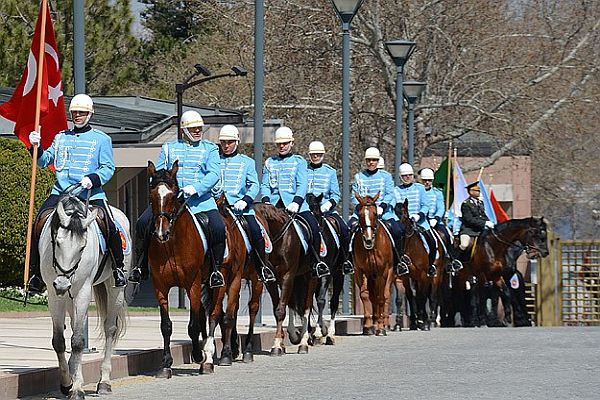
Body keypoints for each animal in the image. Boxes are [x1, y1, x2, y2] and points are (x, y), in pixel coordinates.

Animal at [39, 193, 130, 396]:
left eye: (82, 247)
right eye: (57, 242)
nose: (62, 284)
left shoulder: (82, 292)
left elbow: (79, 341)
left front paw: (77, 388)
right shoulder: (54, 294)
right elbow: (59, 341)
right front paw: (67, 383)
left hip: (115, 288)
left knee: (110, 328)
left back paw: (104, 381)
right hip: (68, 297)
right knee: (74, 327)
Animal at [146, 160, 214, 378]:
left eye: (173, 194)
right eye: (152, 195)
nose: (161, 233)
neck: (172, 245)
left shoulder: (192, 284)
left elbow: (193, 325)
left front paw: (198, 355)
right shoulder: (159, 286)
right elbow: (166, 325)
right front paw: (166, 363)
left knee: (214, 314)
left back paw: (208, 358)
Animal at [253, 203, 318, 354]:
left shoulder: (288, 276)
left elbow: (281, 310)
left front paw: (277, 345)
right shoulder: (272, 281)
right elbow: (278, 308)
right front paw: (280, 342)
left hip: (310, 277)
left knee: (306, 308)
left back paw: (303, 342)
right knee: (293, 304)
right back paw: (294, 335)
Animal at [354, 192, 396, 336]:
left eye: (375, 213)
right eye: (360, 214)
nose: (368, 240)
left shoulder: (382, 272)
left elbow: (381, 297)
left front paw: (380, 327)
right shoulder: (360, 271)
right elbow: (365, 295)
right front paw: (368, 326)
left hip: (389, 274)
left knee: (385, 295)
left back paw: (383, 323)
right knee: (373, 297)